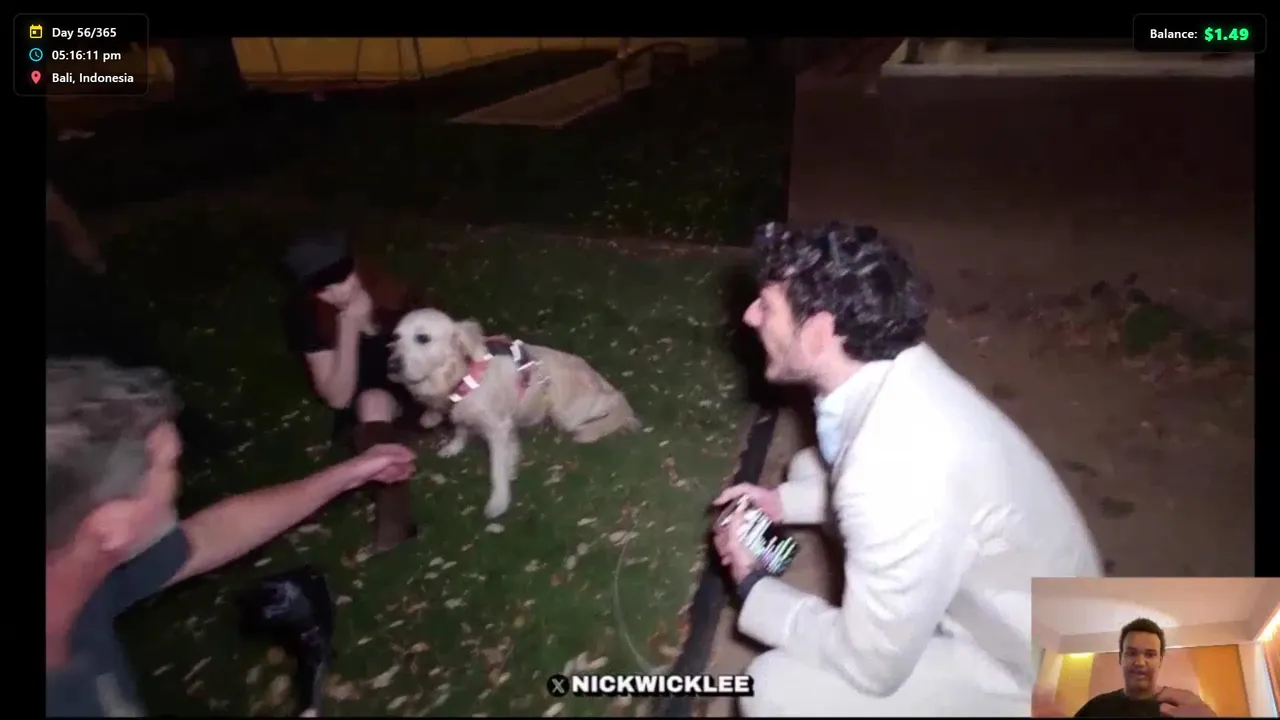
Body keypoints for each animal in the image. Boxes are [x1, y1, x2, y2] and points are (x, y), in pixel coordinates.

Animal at [388, 309, 640, 518]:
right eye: (395, 338)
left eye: (422, 338)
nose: (391, 365)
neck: (460, 374)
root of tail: (596, 376)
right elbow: (461, 428)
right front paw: (454, 447)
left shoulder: (497, 428)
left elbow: (496, 470)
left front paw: (498, 501)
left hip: (568, 414)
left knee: (618, 402)